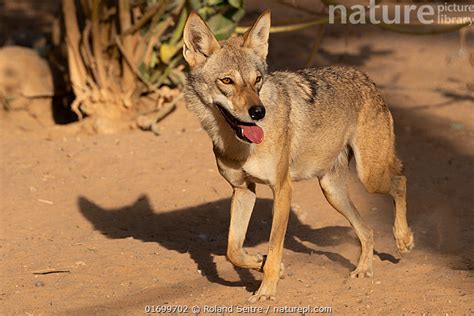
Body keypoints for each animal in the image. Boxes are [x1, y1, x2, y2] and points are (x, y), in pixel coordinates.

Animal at [183, 9, 412, 302]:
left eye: (257, 80)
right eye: (227, 81)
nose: (258, 112)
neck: (238, 144)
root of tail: (363, 75)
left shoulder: (283, 190)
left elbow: (274, 247)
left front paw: (266, 291)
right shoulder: (243, 189)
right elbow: (233, 251)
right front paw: (263, 263)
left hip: (370, 178)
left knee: (400, 181)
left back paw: (403, 239)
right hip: (333, 191)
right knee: (367, 229)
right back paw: (363, 269)